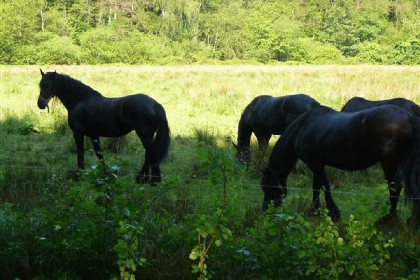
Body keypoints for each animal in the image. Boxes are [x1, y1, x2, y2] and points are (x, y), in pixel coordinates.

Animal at [37, 69, 171, 184]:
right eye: (40, 85)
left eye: (48, 85)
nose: (40, 104)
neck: (80, 100)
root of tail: (155, 104)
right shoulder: (94, 135)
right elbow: (99, 154)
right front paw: (107, 174)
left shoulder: (78, 134)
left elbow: (80, 154)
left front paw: (78, 175)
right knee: (150, 154)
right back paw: (144, 179)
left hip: (144, 135)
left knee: (151, 153)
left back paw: (150, 179)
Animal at [260, 105, 420, 225]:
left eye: (267, 187)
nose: (265, 211)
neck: (301, 129)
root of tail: (408, 116)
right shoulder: (316, 165)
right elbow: (316, 188)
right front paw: (315, 211)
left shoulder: (315, 164)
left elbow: (325, 188)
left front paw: (333, 214)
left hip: (390, 164)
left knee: (395, 188)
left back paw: (389, 219)